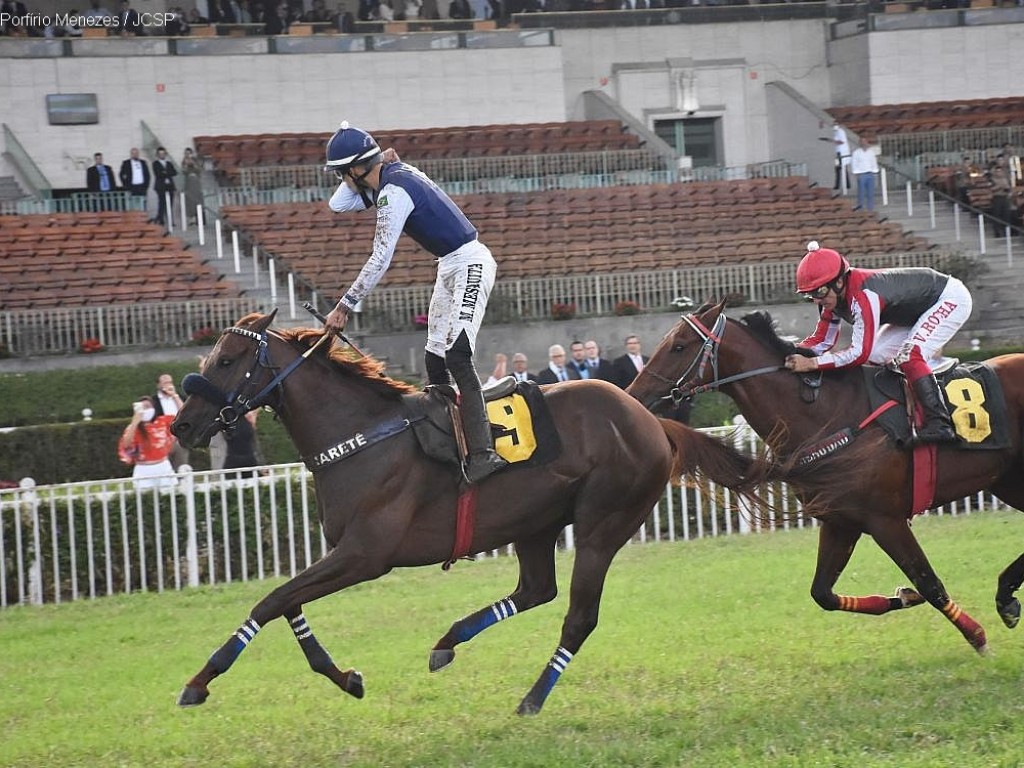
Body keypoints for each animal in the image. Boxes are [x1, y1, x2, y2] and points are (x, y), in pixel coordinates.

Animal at [167, 311, 765, 716]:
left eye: (226, 360)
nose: (181, 426)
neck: (362, 435)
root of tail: (648, 417)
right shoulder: (343, 552)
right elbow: (287, 602)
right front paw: (345, 678)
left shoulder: (366, 555)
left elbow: (270, 601)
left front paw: (200, 679)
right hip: (535, 523)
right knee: (536, 590)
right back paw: (448, 642)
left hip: (603, 525)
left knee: (578, 616)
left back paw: (531, 698)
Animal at [626, 301, 1024, 655]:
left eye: (679, 346)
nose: (633, 395)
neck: (828, 414)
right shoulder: (840, 521)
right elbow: (823, 594)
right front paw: (903, 598)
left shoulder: (886, 520)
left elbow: (929, 582)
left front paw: (977, 637)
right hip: (1007, 480)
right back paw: (1006, 593)